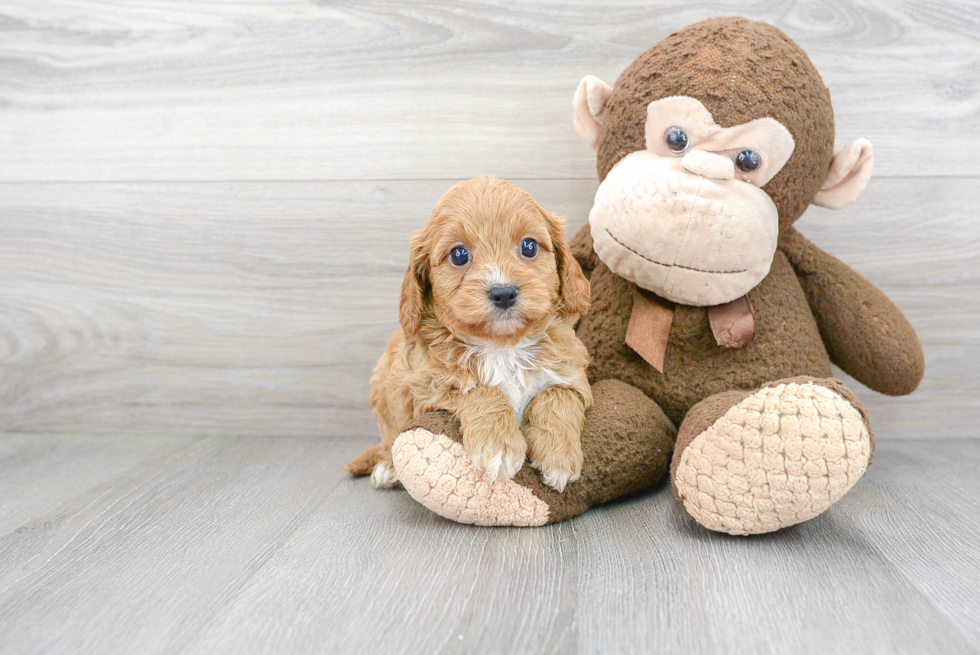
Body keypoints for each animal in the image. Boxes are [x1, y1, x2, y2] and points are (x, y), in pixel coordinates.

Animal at [348, 174, 592, 492]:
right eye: (459, 255)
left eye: (529, 247)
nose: (503, 293)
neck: (503, 346)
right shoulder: (423, 389)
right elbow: (479, 389)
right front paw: (498, 446)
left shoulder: (573, 374)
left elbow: (556, 394)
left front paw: (558, 455)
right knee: (388, 442)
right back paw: (388, 468)